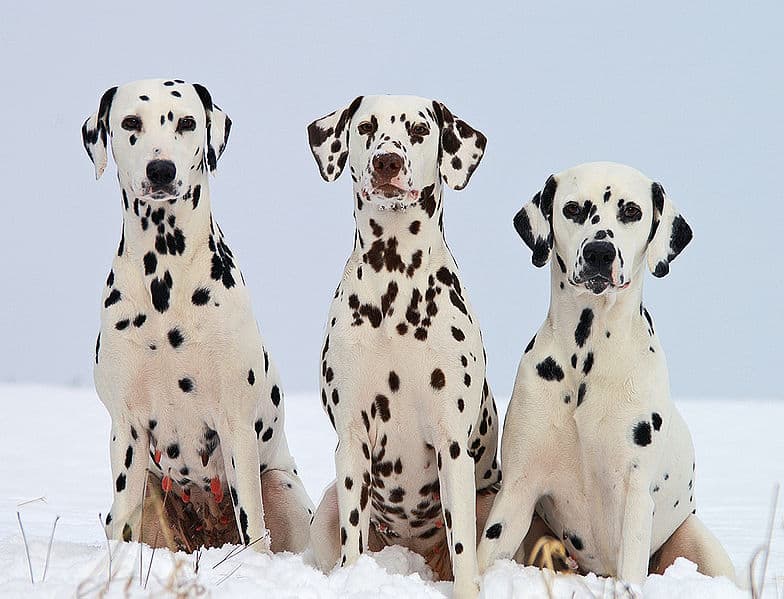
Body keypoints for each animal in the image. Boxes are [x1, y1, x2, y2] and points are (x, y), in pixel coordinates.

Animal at [80, 78, 312, 552]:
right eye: (130, 123)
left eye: (187, 122)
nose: (161, 170)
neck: (165, 284)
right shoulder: (126, 429)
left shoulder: (236, 424)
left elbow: (252, 524)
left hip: (281, 486)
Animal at [306, 95, 502, 599]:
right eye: (367, 127)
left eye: (418, 130)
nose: (387, 162)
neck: (394, 287)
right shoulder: (352, 441)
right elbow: (352, 536)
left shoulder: (452, 445)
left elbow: (462, 547)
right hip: (327, 506)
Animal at [474, 163, 740, 584]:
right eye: (572, 209)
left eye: (631, 211)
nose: (600, 251)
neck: (587, 356)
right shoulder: (517, 490)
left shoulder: (634, 496)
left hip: (697, 544)